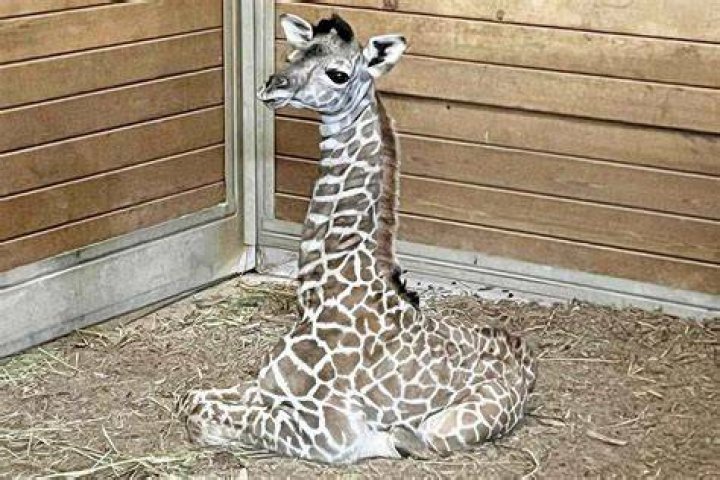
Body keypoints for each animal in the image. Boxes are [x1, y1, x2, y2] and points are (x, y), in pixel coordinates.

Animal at [177, 13, 537, 464]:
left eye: (338, 73)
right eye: (293, 54)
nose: (272, 85)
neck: (322, 293)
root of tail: (529, 367)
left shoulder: (331, 431)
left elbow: (213, 416)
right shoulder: (266, 386)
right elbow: (190, 399)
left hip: (445, 428)